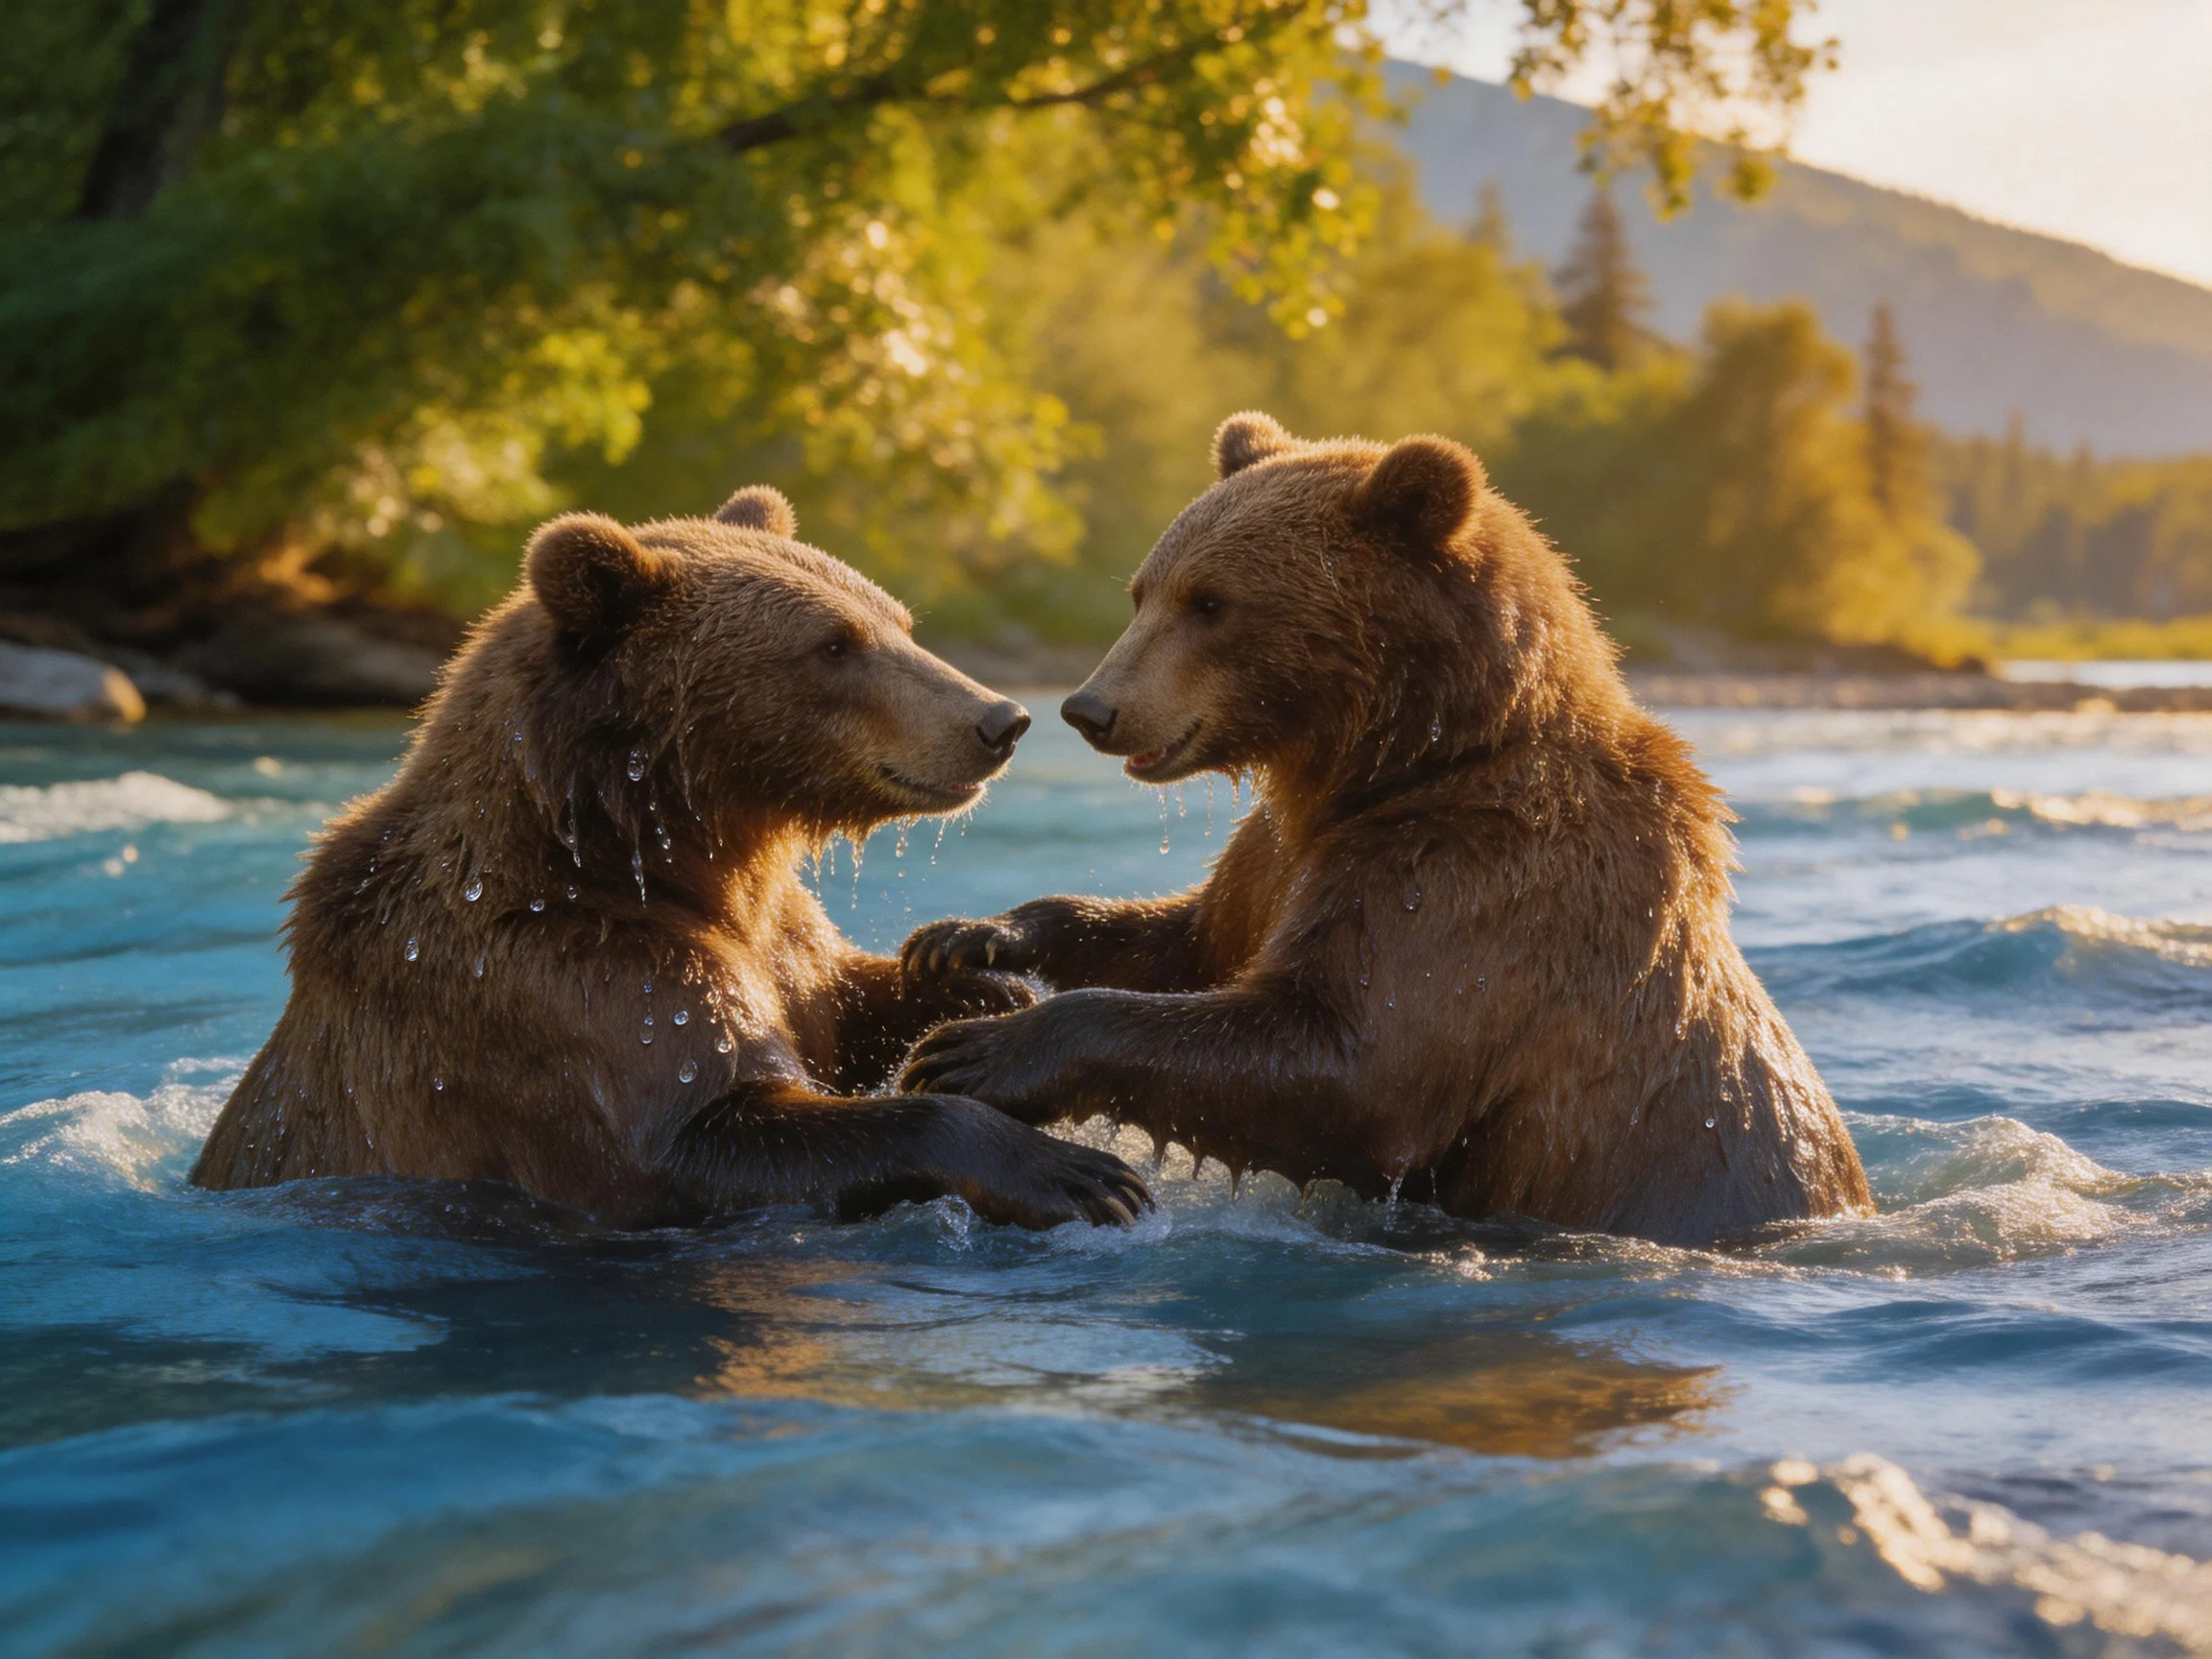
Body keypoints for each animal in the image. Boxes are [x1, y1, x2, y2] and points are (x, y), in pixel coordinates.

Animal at [191, 487, 1150, 1231]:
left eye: (899, 622)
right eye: (833, 644)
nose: (999, 720)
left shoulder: (777, 939)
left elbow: (835, 999)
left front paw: (982, 999)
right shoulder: (557, 982)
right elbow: (699, 1135)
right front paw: (1080, 1174)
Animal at [898, 413, 1871, 1245]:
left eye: (1211, 602)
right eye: (1144, 592)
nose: (1091, 707)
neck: (1391, 764)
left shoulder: (1481, 880)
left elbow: (1353, 1064)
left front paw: (970, 1054)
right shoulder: (1281, 853)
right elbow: (1194, 941)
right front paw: (966, 937)